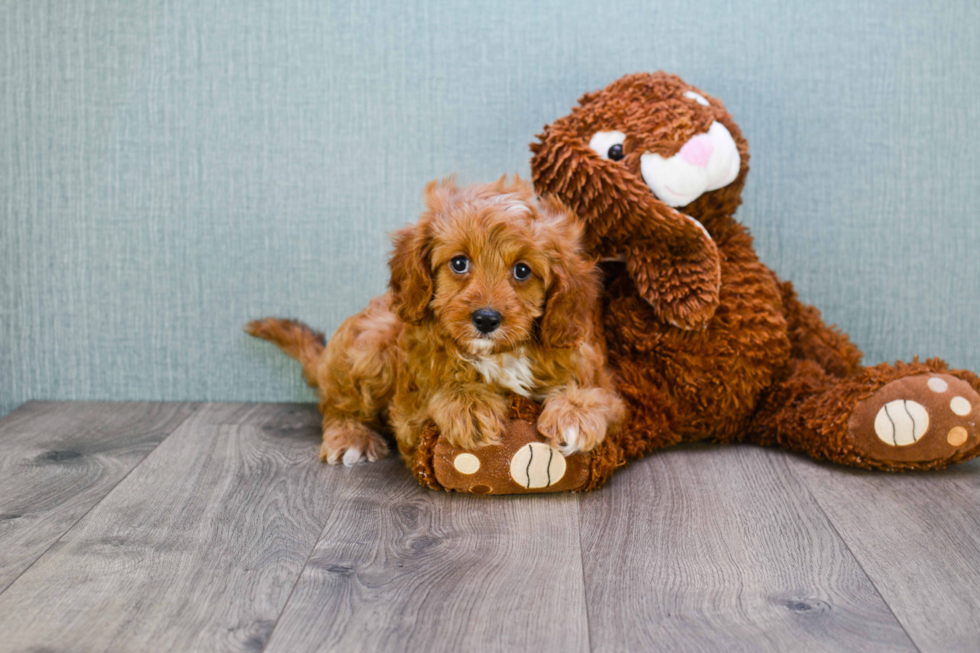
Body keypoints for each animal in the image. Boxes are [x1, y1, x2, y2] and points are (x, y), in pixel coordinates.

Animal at [249, 176, 624, 466]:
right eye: (459, 263)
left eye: (522, 271)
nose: (486, 319)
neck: (498, 355)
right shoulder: (409, 413)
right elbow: (436, 391)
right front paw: (468, 404)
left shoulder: (597, 376)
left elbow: (601, 397)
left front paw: (574, 413)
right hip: (370, 344)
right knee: (335, 405)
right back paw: (349, 436)